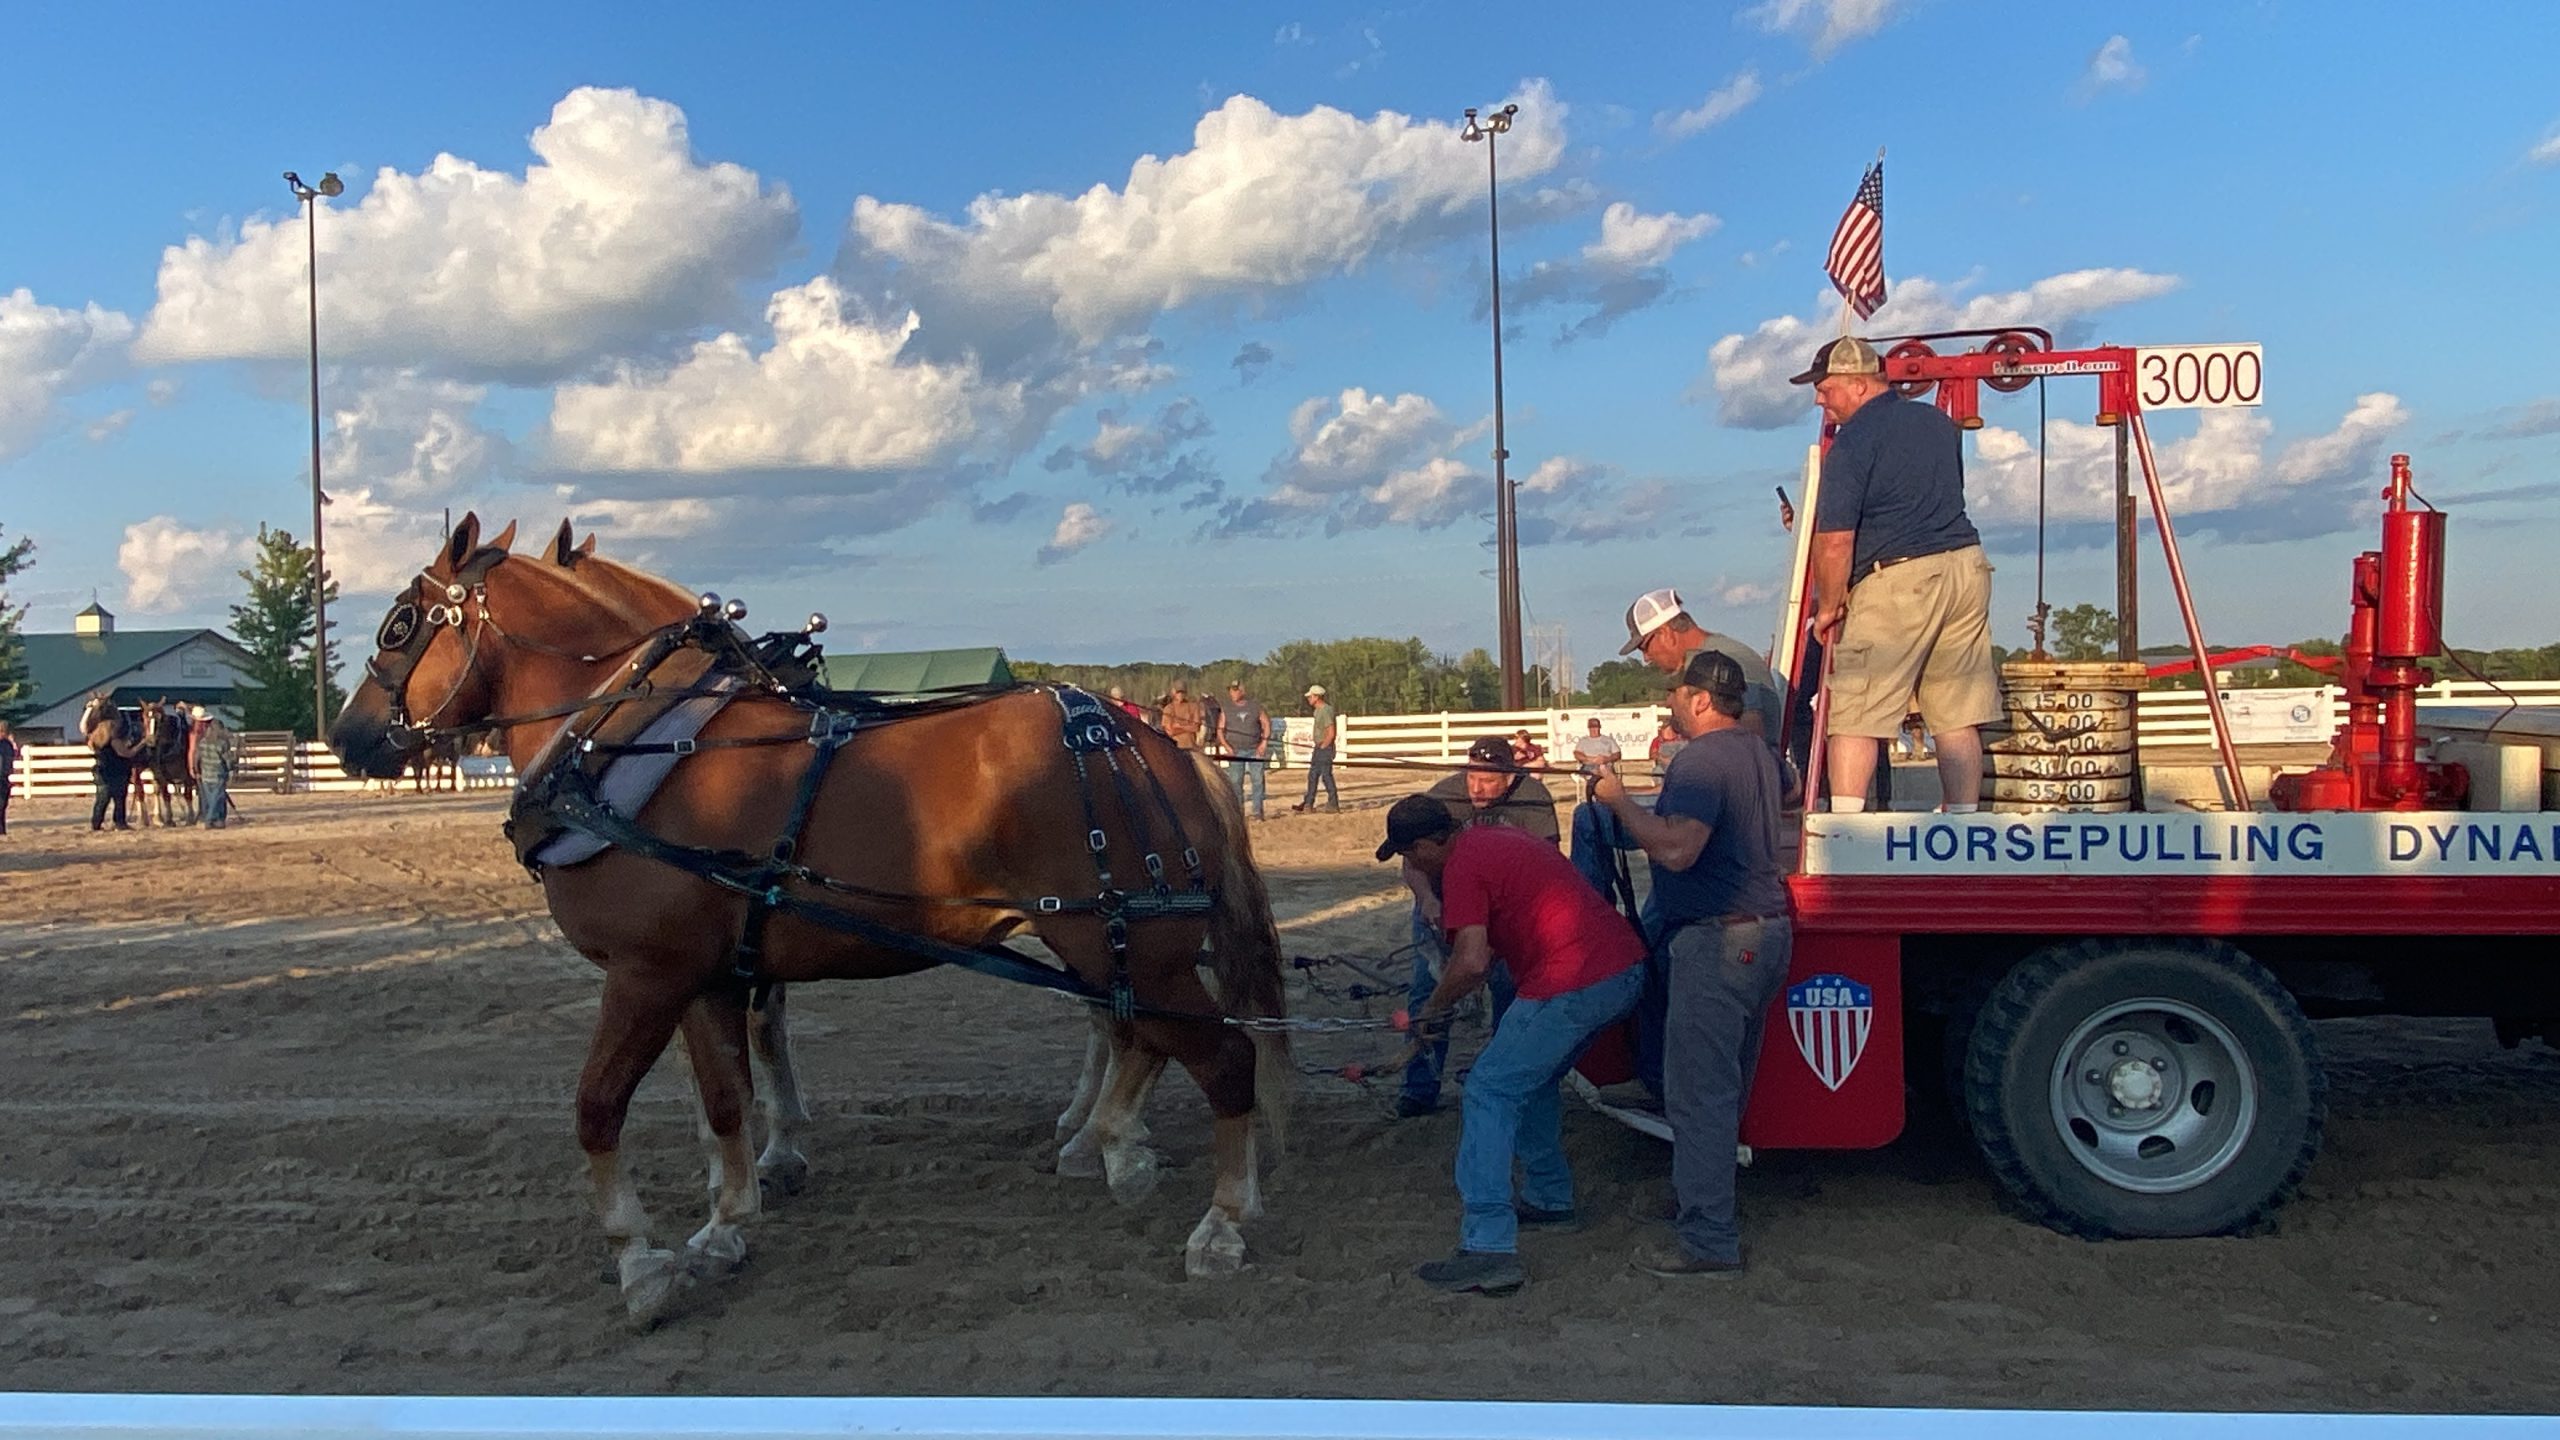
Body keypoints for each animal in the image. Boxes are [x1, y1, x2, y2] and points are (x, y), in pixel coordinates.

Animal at [330, 515, 1290, 1322]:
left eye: (400, 625)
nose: (344, 737)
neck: (643, 742)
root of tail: (1164, 751)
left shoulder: (648, 974)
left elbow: (599, 1107)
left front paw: (641, 1262)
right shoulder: (708, 976)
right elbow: (726, 1099)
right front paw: (729, 1220)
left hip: (1127, 944)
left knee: (1222, 1057)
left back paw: (1218, 1218)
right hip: (1106, 943)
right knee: (1142, 1035)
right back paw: (1117, 1143)